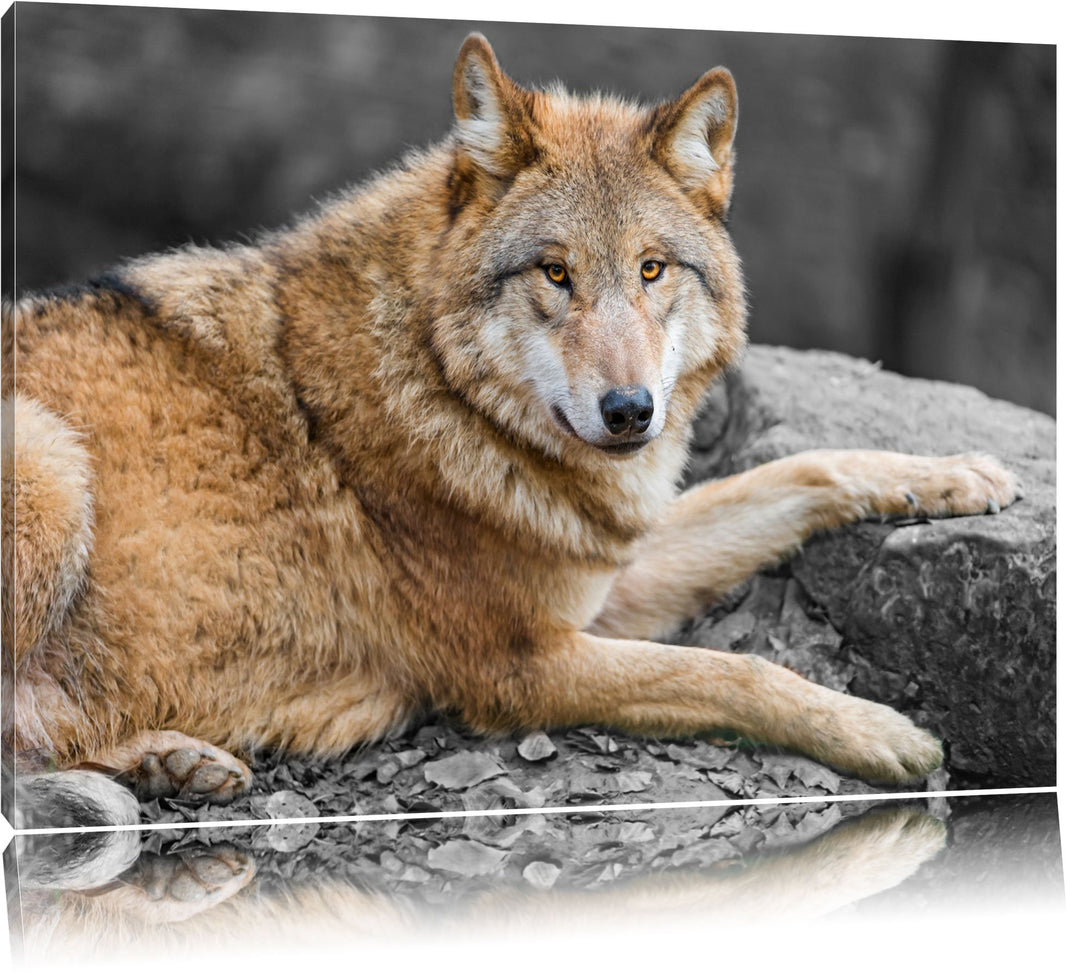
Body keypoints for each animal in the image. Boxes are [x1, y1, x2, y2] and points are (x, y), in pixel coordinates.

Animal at [2, 34, 1019, 827]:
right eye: (556, 273)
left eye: (651, 270)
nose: (629, 411)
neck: (443, 389)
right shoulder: (521, 666)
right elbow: (735, 673)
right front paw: (882, 732)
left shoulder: (606, 577)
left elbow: (798, 470)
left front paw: (958, 475)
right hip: (50, 464)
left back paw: (171, 763)